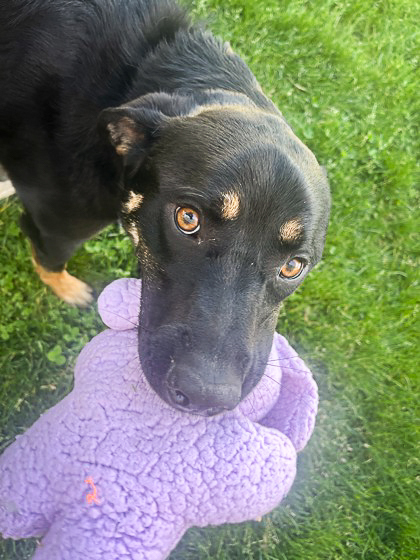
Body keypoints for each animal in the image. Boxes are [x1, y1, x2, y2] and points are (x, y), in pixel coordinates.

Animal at [0, 1, 332, 416]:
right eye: (187, 218)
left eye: (293, 267)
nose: (205, 397)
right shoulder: (57, 225)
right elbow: (49, 260)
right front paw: (69, 290)